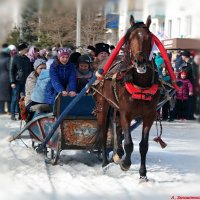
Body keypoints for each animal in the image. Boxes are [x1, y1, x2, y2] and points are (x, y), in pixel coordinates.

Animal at [94, 15, 161, 180]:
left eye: (149, 38)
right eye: (130, 38)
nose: (140, 61)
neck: (140, 84)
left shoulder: (149, 115)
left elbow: (144, 145)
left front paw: (143, 174)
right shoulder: (126, 113)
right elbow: (129, 143)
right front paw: (125, 163)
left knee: (117, 128)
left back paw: (117, 153)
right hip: (103, 105)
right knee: (103, 133)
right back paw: (105, 163)